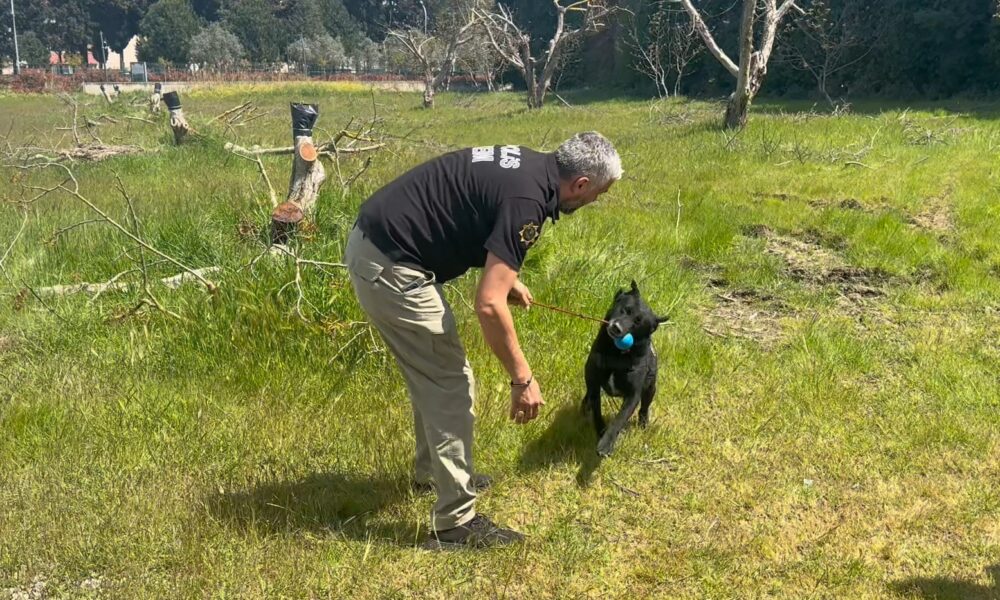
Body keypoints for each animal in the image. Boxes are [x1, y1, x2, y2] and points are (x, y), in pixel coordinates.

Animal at [583, 281, 668, 457]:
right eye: (626, 309)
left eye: (638, 322)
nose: (617, 328)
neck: (617, 355)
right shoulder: (594, 382)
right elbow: (596, 410)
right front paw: (600, 430)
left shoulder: (633, 395)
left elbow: (619, 419)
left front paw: (606, 443)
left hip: (650, 388)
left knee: (644, 408)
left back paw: (643, 423)